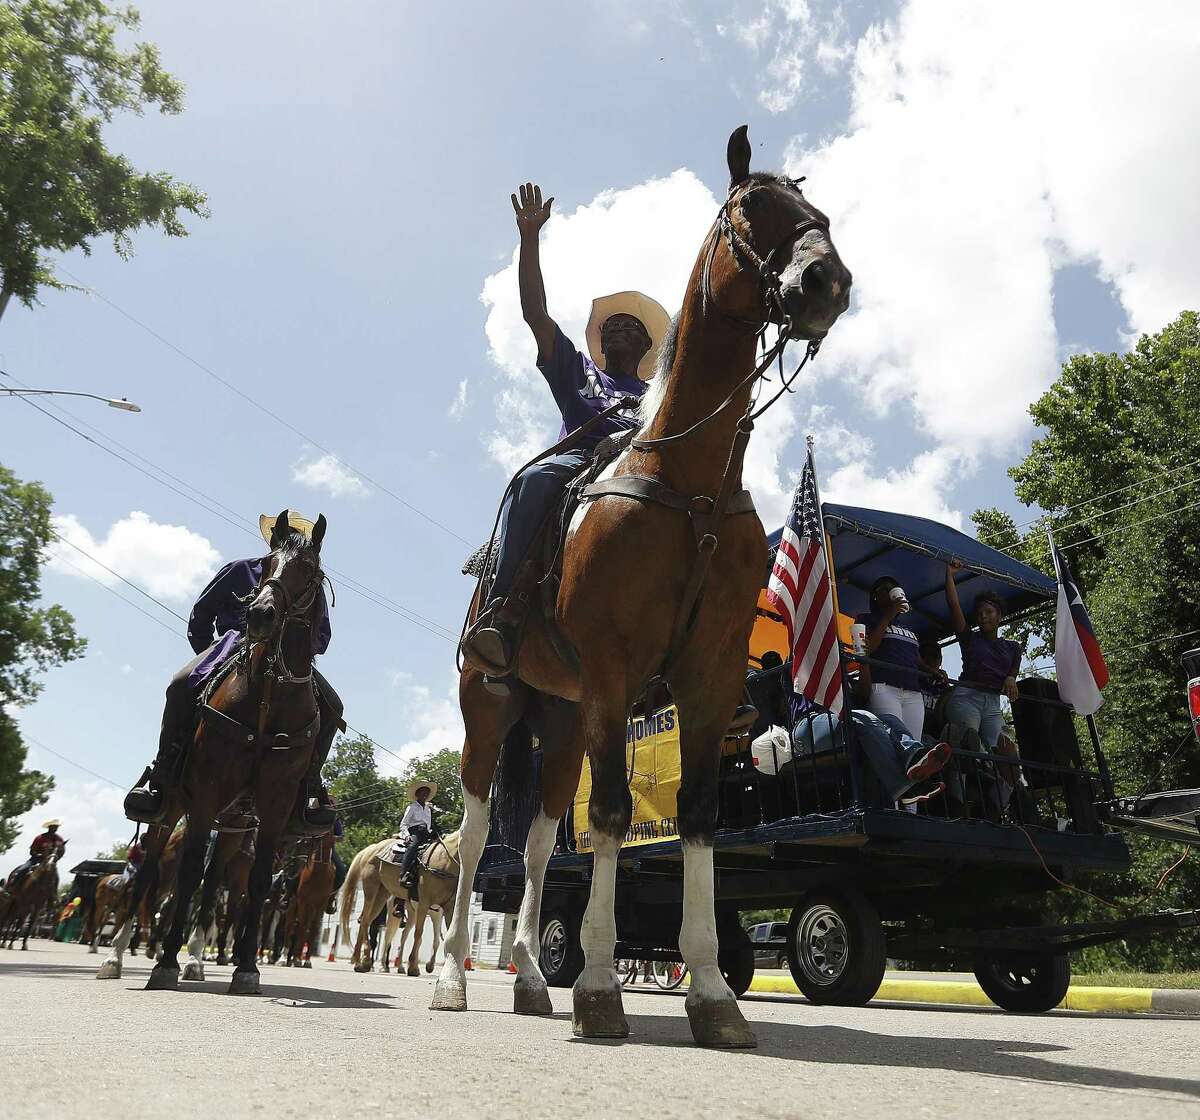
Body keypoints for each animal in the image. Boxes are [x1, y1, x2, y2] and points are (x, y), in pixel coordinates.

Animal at [343, 830, 463, 969]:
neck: (444, 860)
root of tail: (373, 848)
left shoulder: (446, 909)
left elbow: (443, 936)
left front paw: (432, 965)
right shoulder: (424, 904)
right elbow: (419, 933)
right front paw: (413, 967)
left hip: (382, 895)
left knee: (369, 922)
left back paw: (363, 961)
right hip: (371, 891)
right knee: (371, 925)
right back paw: (365, 961)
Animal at [434, 126, 854, 1046]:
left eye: (820, 212)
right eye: (752, 206)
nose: (827, 282)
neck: (688, 483)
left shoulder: (707, 678)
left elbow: (691, 817)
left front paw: (713, 995)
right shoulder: (611, 670)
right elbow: (614, 819)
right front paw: (598, 988)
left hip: (557, 720)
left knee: (536, 842)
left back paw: (528, 978)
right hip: (491, 702)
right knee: (478, 826)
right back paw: (452, 978)